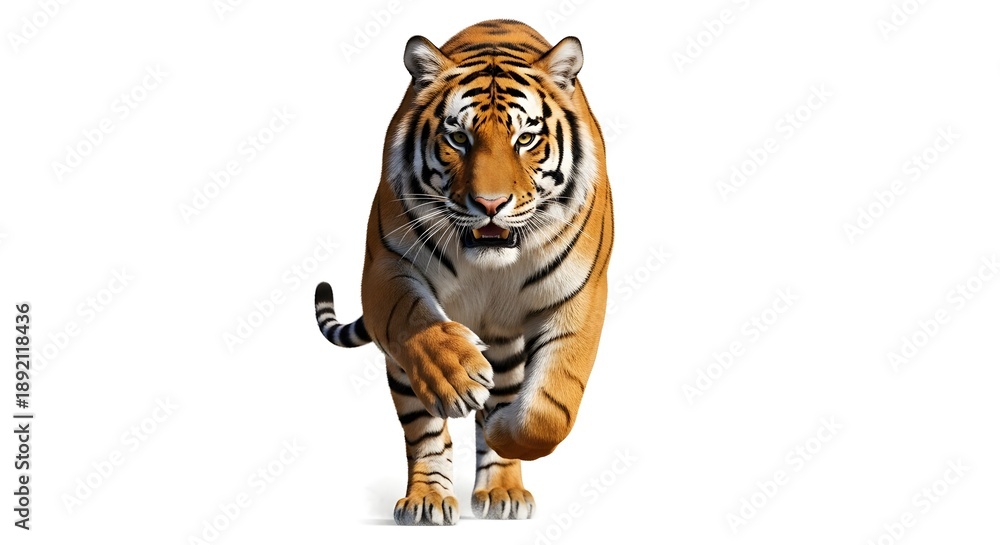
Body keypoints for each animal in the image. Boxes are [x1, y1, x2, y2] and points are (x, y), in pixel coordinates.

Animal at [313, 19, 613, 525]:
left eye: (525, 139)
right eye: (458, 139)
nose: (490, 204)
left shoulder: (580, 294)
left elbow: (549, 408)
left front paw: (502, 429)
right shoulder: (385, 268)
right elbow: (416, 324)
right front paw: (456, 375)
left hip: (507, 347)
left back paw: (502, 491)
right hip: (404, 373)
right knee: (422, 431)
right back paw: (426, 500)